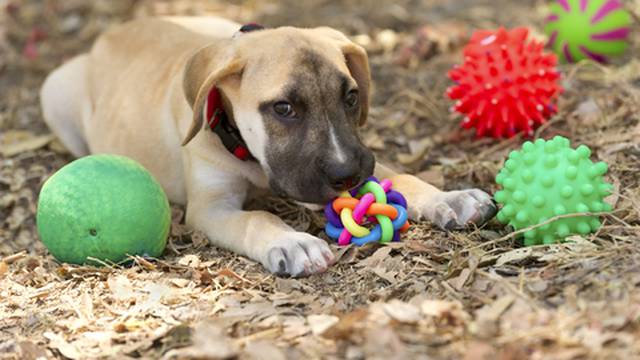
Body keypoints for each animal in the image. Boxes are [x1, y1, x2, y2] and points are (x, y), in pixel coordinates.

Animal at [40, 16, 496, 276]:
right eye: (283, 108)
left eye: (351, 96)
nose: (347, 174)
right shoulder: (211, 208)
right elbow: (256, 218)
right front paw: (293, 243)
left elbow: (402, 176)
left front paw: (450, 198)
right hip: (54, 91)